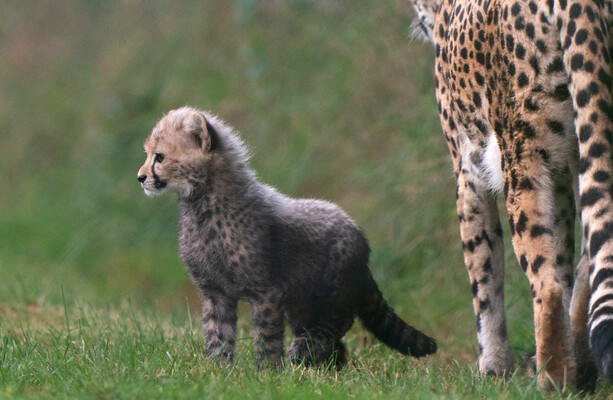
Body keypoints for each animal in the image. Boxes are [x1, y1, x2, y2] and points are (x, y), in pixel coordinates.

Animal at [412, 0, 612, 390]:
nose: (417, 21)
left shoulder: (469, 175)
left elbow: (484, 277)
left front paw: (493, 367)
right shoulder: (562, 173)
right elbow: (568, 257)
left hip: (522, 159)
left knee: (546, 283)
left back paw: (551, 379)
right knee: (588, 257)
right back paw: (577, 366)